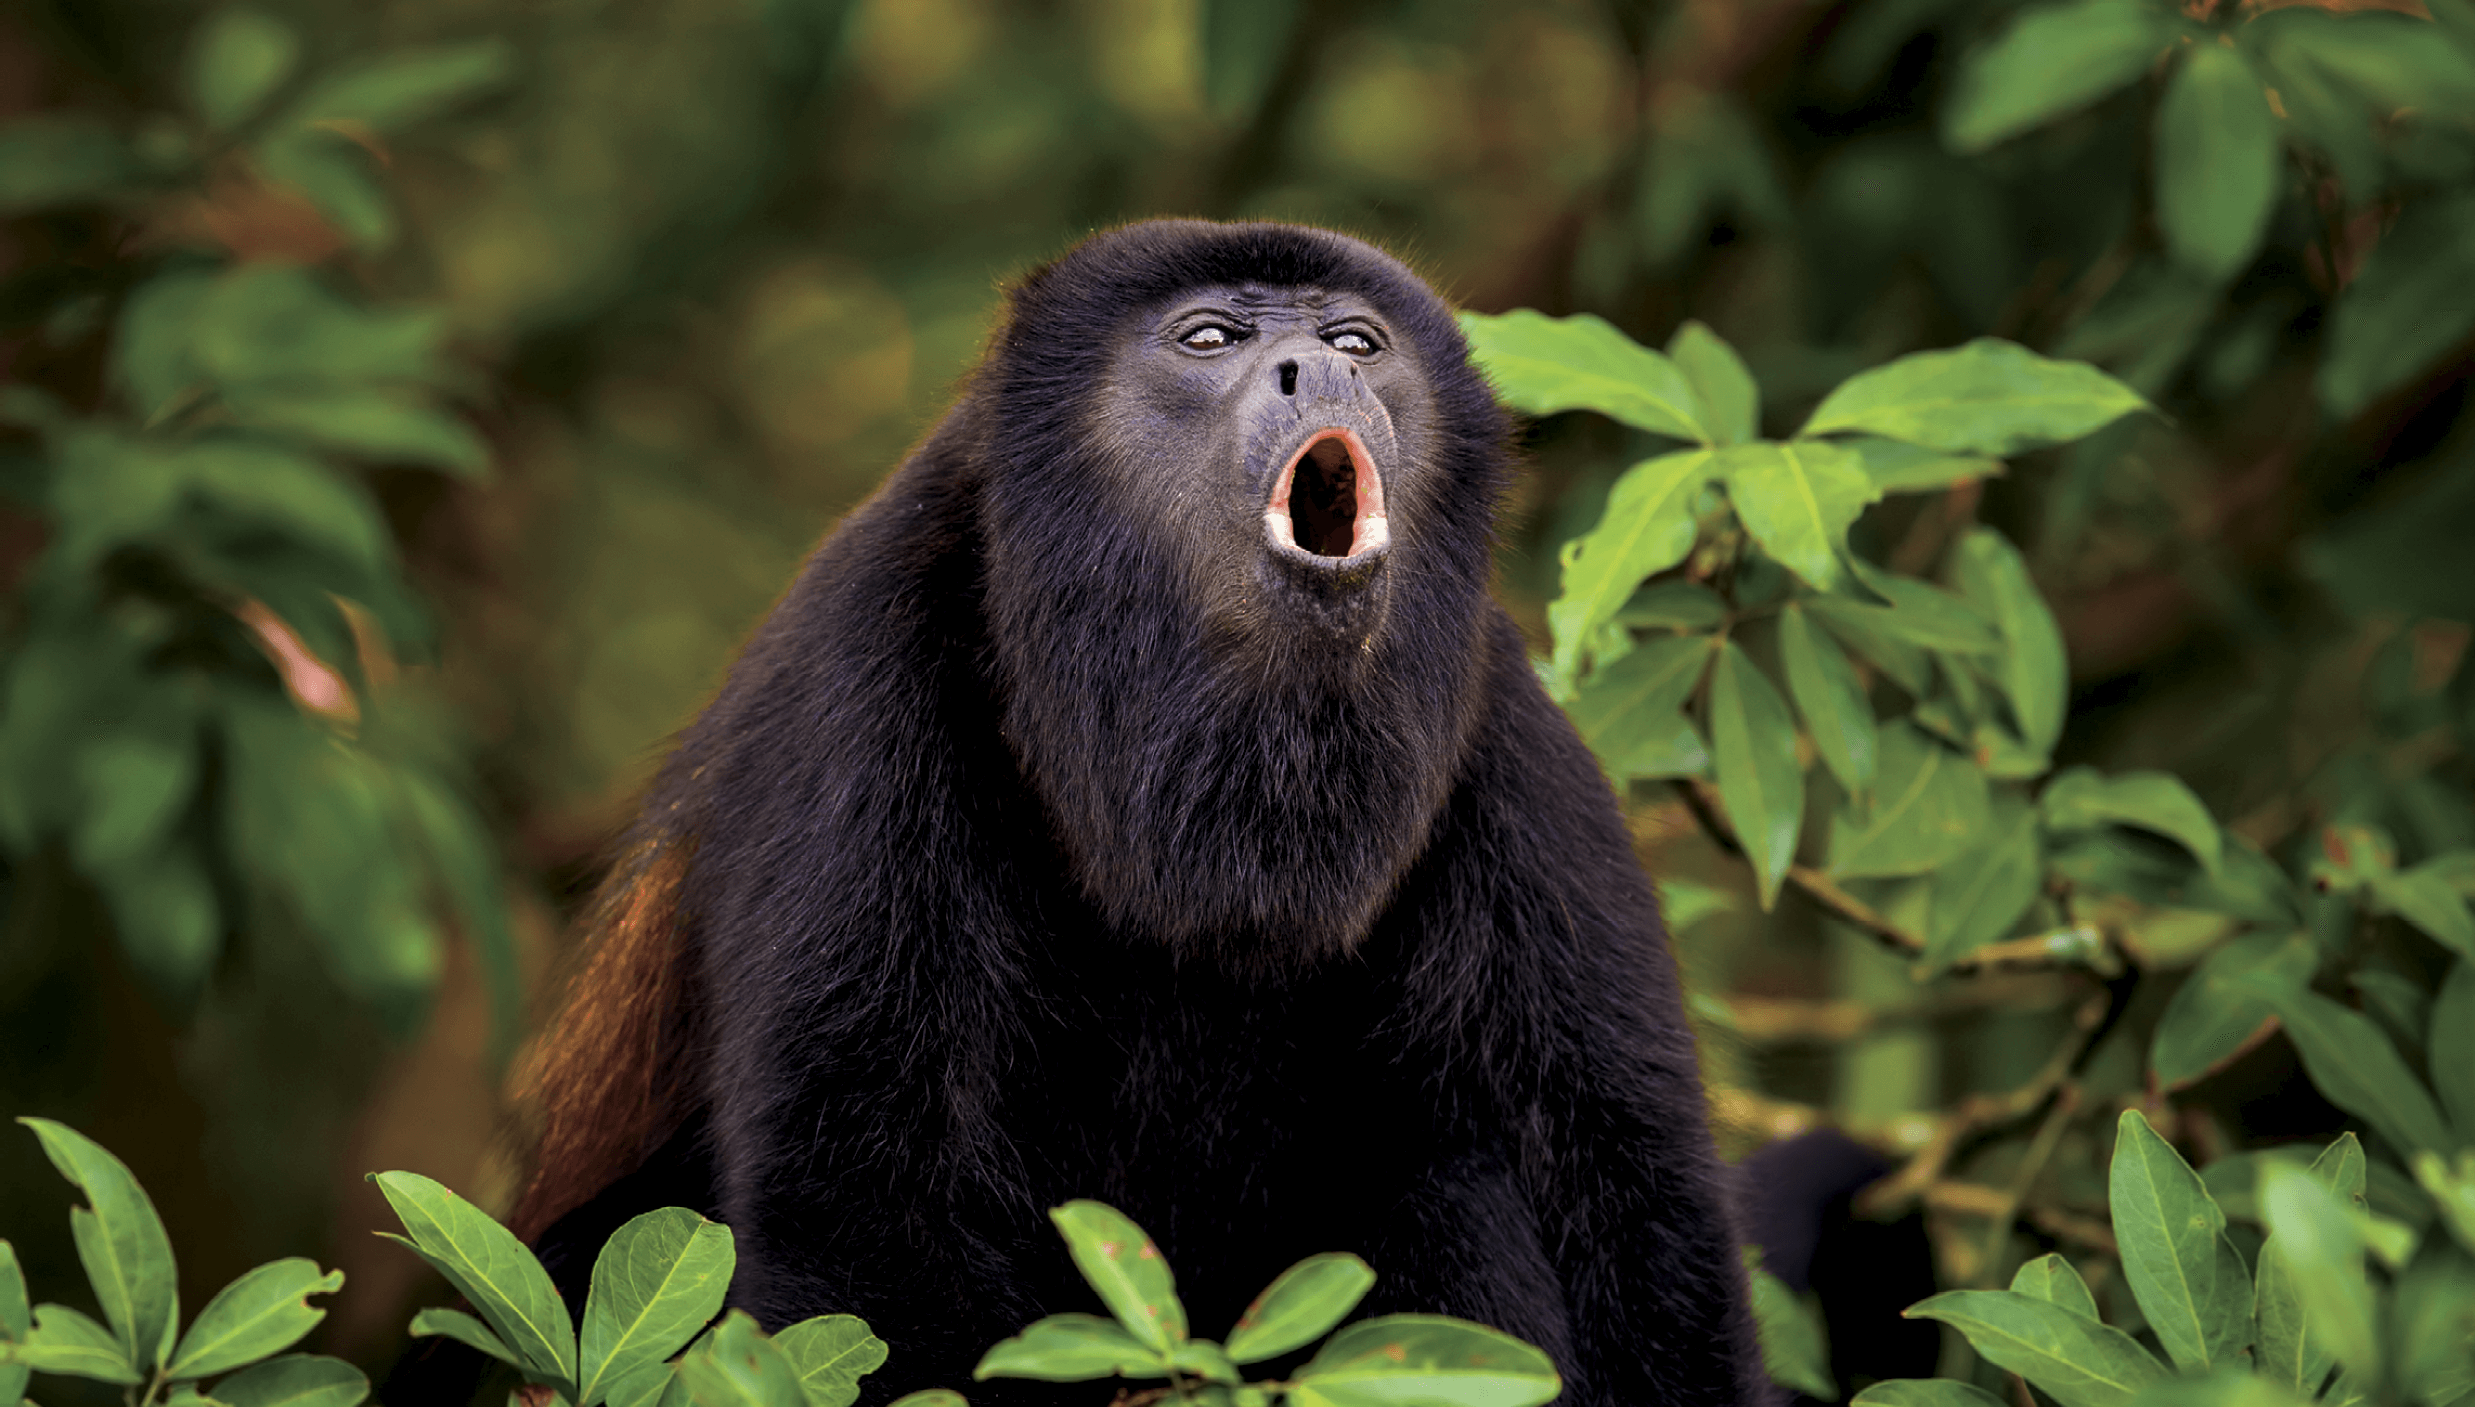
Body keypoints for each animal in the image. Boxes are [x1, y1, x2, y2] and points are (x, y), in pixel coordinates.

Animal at [512, 220, 1772, 1407]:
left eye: (1359, 341)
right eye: (1209, 338)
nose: (1319, 366)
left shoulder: (1509, 740)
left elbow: (1646, 1231)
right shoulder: (857, 684)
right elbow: (865, 1233)